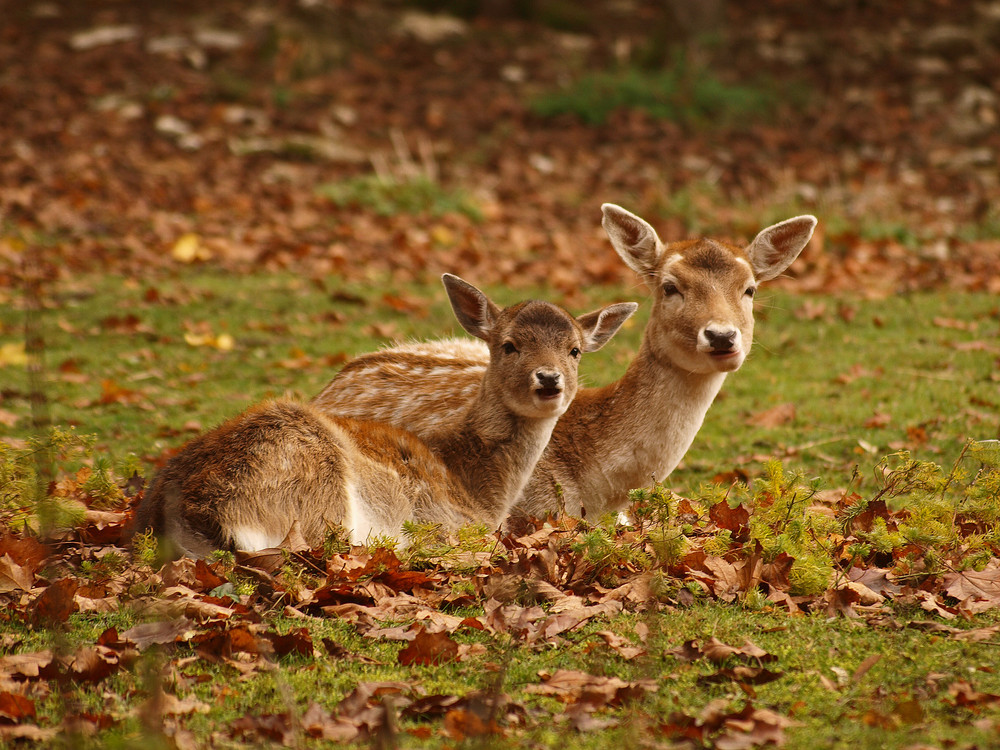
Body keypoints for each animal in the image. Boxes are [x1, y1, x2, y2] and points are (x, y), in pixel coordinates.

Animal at [133, 276, 636, 560]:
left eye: (575, 349)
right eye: (509, 345)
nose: (549, 379)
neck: (478, 486)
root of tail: (187, 515)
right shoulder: (450, 520)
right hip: (315, 489)